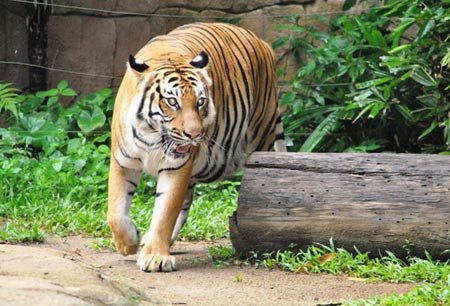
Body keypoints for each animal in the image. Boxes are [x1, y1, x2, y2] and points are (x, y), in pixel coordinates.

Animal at [106, 23, 284, 272]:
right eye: (172, 102)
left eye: (200, 102)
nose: (195, 135)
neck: (153, 137)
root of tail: (261, 41)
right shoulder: (123, 161)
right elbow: (116, 212)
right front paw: (129, 243)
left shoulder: (177, 166)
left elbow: (165, 212)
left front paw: (155, 257)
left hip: (263, 134)